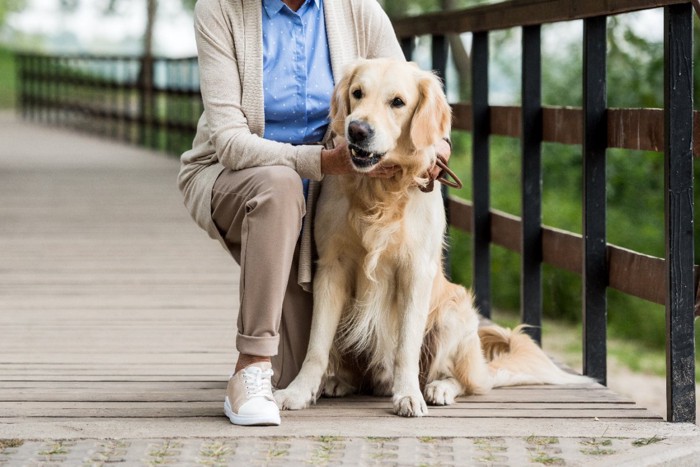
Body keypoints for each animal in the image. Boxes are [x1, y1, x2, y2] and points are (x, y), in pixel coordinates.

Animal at [274, 56, 592, 418]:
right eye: (357, 93)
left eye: (398, 102)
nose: (357, 130)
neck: (379, 191)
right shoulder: (332, 266)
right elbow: (316, 345)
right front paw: (298, 391)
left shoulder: (416, 271)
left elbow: (406, 346)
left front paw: (409, 395)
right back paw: (339, 381)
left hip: (455, 315)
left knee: (466, 382)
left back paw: (438, 388)